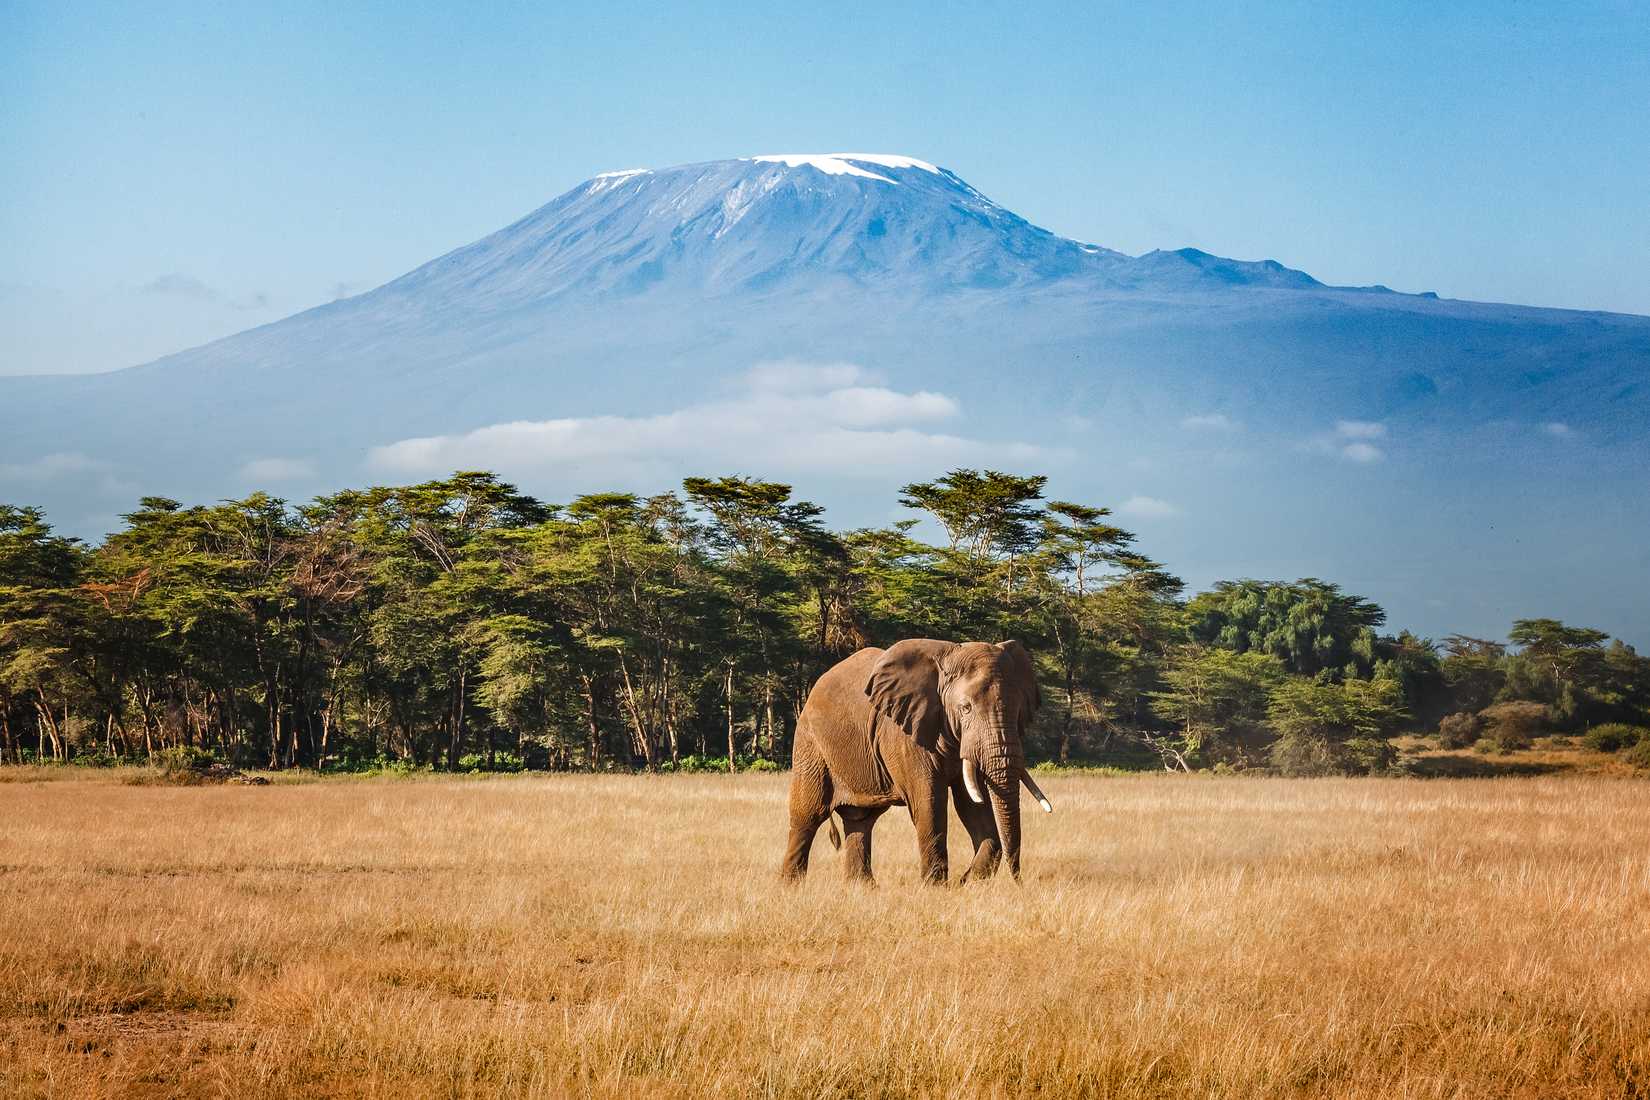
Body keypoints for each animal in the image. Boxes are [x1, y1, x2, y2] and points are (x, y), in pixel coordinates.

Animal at [779, 638, 1053, 885]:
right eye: (965, 708)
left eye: (1018, 711)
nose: (1018, 881)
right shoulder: (904, 734)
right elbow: (929, 801)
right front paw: (936, 888)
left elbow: (972, 803)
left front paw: (966, 883)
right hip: (810, 745)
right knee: (807, 815)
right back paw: (790, 887)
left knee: (860, 821)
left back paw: (861, 889)